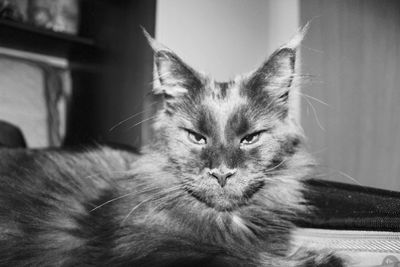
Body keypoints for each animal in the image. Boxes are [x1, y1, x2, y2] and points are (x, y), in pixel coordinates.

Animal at [0, 28, 346, 266]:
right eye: (196, 137)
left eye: (250, 138)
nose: (222, 173)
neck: (225, 222)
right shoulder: (142, 254)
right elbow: (237, 259)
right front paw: (323, 258)